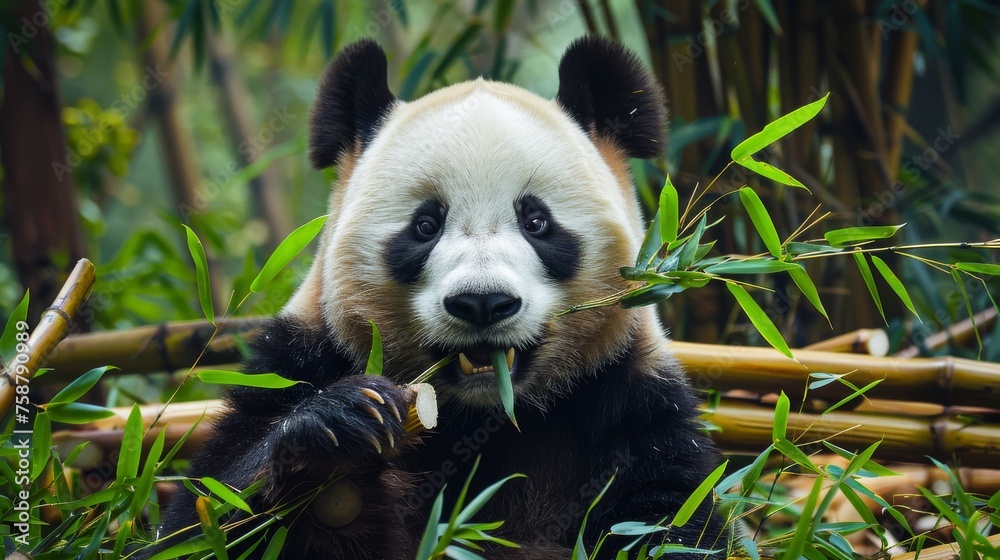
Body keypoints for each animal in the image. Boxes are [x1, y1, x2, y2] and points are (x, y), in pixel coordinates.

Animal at [158, 36, 727, 559]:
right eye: (425, 225)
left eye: (536, 222)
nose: (483, 303)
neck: (484, 414)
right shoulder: (300, 358)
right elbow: (200, 518)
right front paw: (341, 430)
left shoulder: (631, 401)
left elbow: (670, 522)